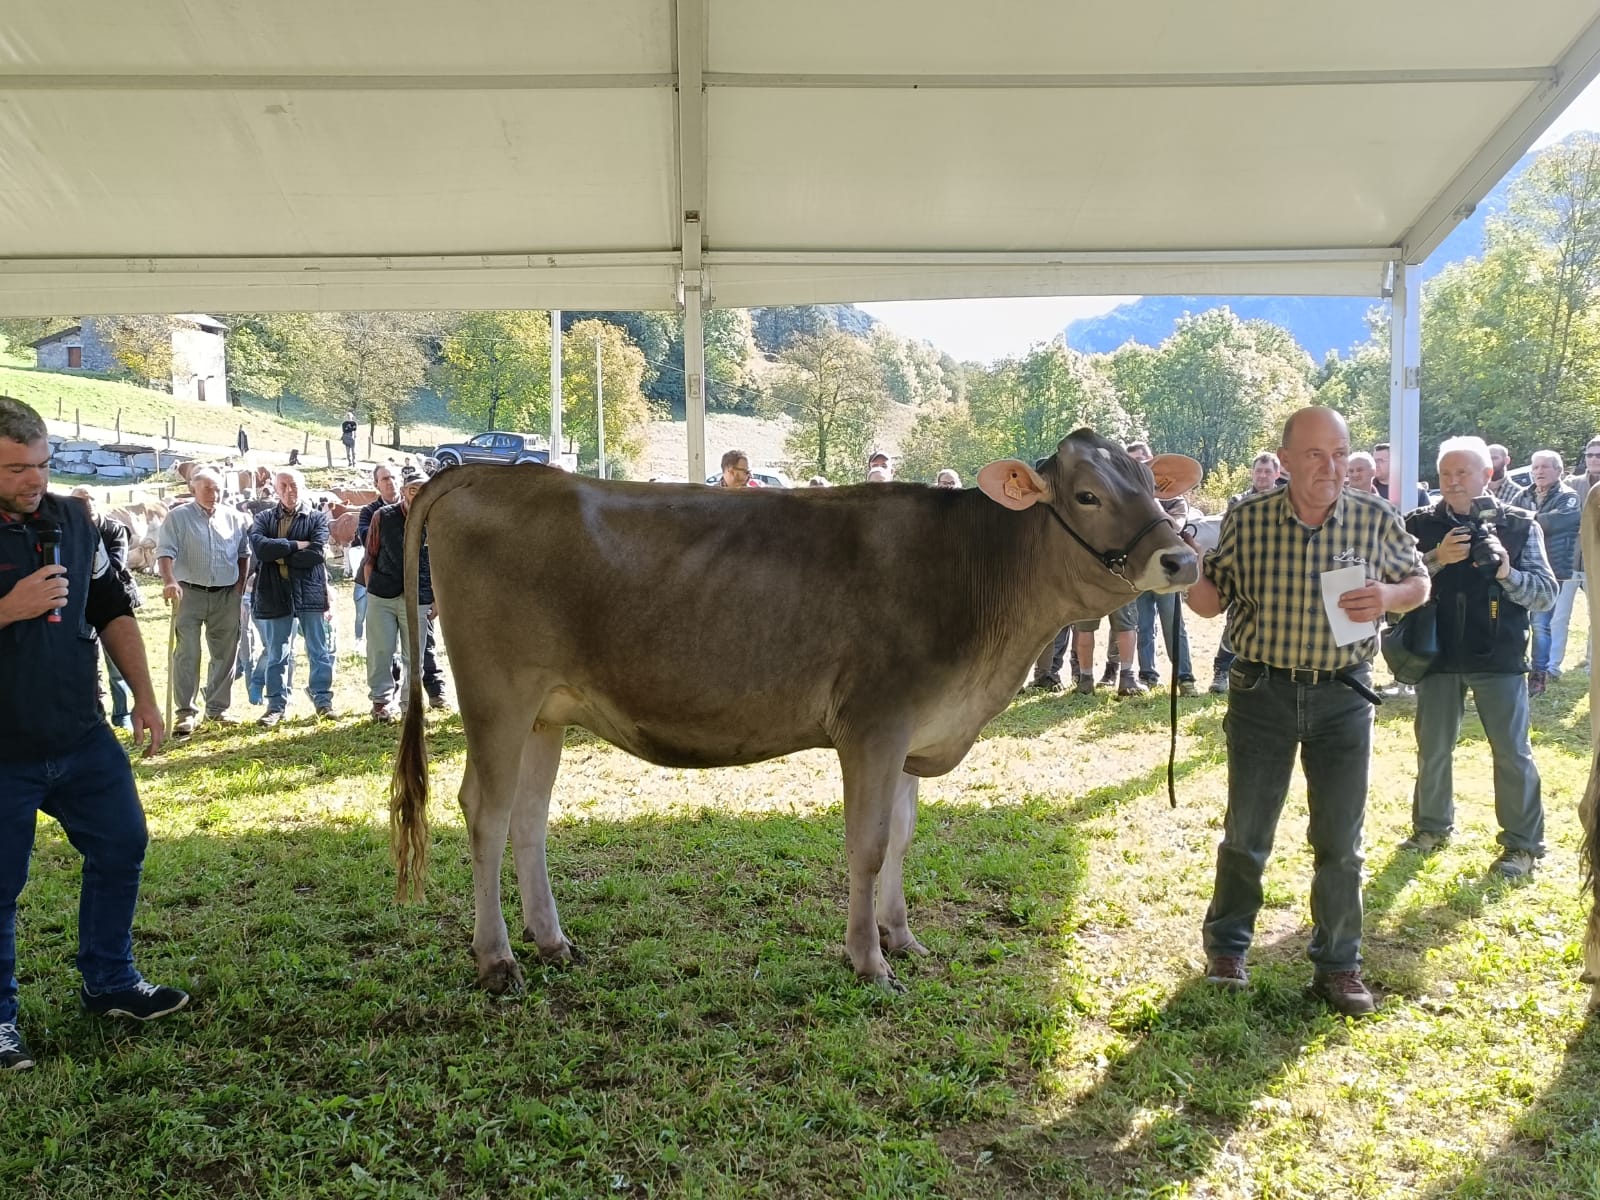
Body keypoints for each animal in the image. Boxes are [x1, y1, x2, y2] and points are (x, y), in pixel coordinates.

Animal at [390, 432, 1203, 998]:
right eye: (1088, 496)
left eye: (1149, 484)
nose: (1182, 558)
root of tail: (484, 472)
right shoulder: (874, 726)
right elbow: (867, 846)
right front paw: (868, 961)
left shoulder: (915, 732)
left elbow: (903, 837)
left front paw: (901, 936)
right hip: (497, 695)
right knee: (485, 811)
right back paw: (497, 959)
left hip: (546, 713)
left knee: (528, 818)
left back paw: (552, 942)